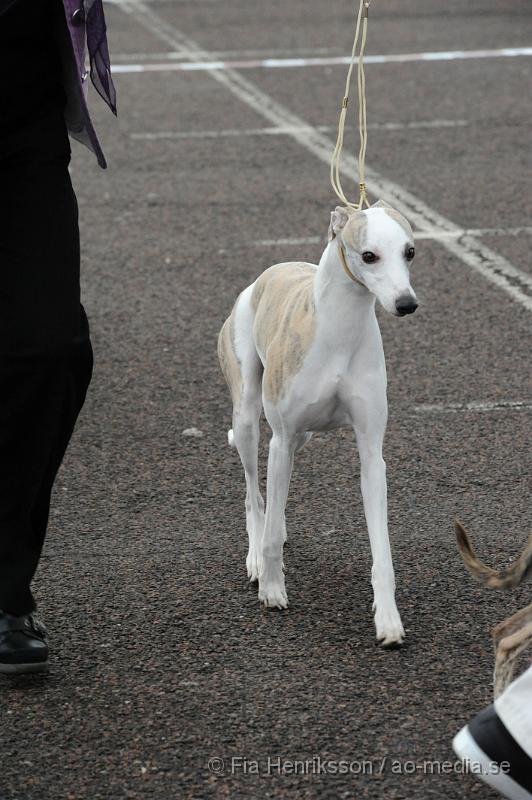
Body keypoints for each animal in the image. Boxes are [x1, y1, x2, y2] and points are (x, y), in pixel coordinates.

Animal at [218, 202, 418, 648]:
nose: (406, 303)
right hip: (249, 419)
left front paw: (388, 620)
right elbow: (269, 527)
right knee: (253, 494)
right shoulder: (280, 439)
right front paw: (272, 589)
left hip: (302, 437)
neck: (340, 331)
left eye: (410, 252)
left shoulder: (371, 454)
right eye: (368, 256)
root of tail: (266, 275)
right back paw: (255, 558)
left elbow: (383, 552)